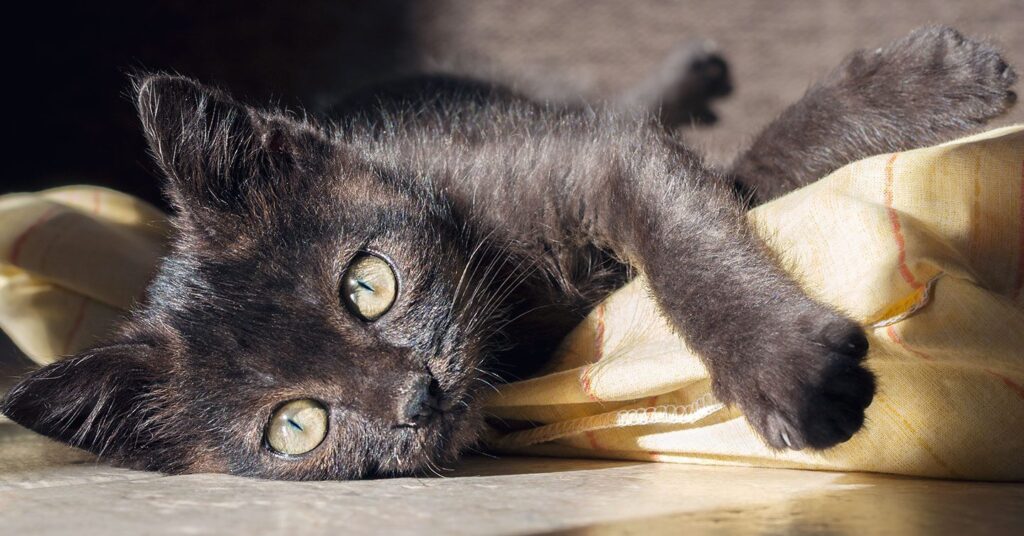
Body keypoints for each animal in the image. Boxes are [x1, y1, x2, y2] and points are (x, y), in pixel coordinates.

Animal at [4, 25, 1015, 479]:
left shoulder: (593, 158)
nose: (417, 396)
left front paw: (787, 369)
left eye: (367, 284)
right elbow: (743, 180)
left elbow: (705, 217)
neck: (509, 314)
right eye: (296, 426)